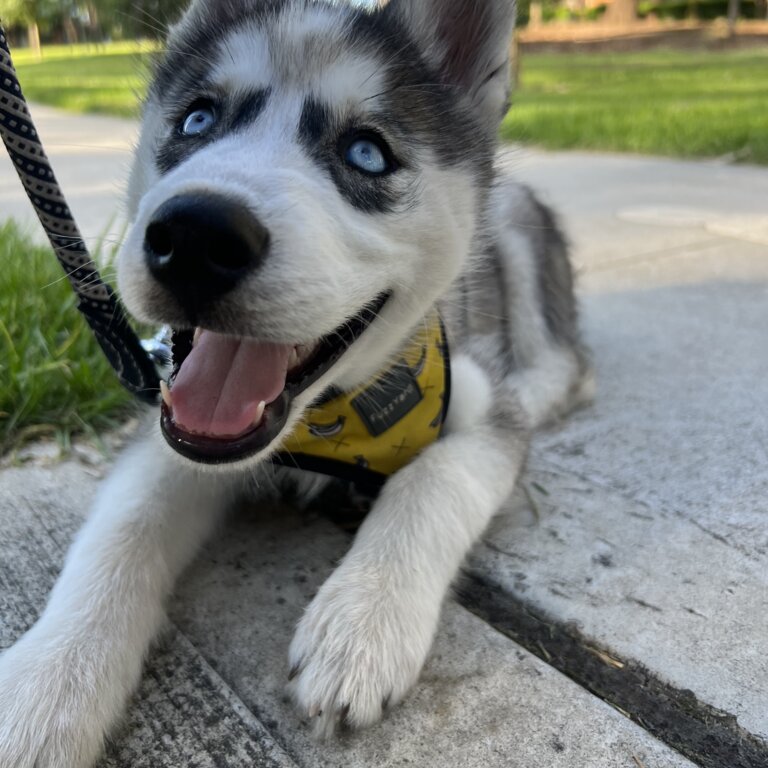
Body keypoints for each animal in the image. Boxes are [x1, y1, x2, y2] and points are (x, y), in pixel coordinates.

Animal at [0, 0, 588, 760]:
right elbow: (121, 528)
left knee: (566, 364)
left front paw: (362, 623)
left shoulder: (482, 408)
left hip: (514, 230)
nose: (195, 235)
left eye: (367, 153)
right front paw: (47, 679)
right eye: (196, 120)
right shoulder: (170, 427)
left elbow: (437, 475)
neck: (326, 426)